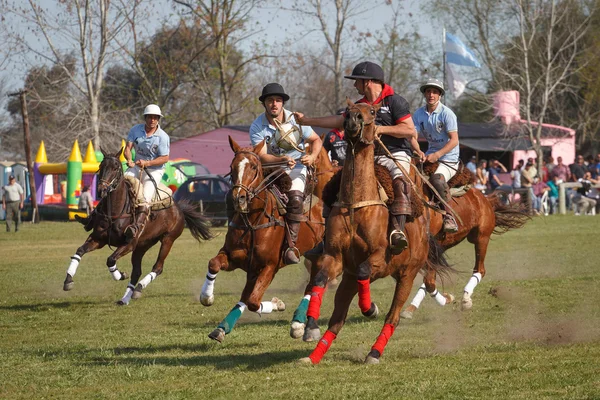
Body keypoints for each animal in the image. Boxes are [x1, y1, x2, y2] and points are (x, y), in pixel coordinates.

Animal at [62, 148, 213, 304]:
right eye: (101, 166)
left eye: (116, 168)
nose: (102, 190)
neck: (115, 211)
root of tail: (179, 209)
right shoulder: (98, 239)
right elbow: (80, 251)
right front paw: (68, 281)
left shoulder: (129, 244)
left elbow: (110, 260)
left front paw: (121, 275)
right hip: (143, 244)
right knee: (137, 271)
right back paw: (125, 298)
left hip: (168, 240)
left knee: (158, 267)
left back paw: (138, 288)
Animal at [199, 136, 336, 342]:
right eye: (232, 167)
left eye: (254, 167)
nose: (238, 198)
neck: (253, 221)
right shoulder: (236, 259)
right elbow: (214, 264)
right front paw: (207, 297)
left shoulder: (270, 266)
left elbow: (253, 302)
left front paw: (278, 304)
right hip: (312, 255)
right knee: (310, 283)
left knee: (314, 284)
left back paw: (299, 324)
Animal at [298, 98, 450, 364]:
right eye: (347, 112)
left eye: (372, 112)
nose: (352, 120)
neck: (356, 204)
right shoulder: (335, 258)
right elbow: (319, 278)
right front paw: (310, 325)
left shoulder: (379, 258)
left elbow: (364, 271)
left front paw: (370, 308)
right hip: (350, 281)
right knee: (337, 321)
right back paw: (314, 356)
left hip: (407, 275)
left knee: (393, 316)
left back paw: (374, 352)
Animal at [400, 188, 528, 318]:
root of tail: (484, 198)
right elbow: (428, 281)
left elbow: (429, 282)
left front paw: (448, 298)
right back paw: (411, 308)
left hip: (481, 238)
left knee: (480, 270)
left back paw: (466, 299)